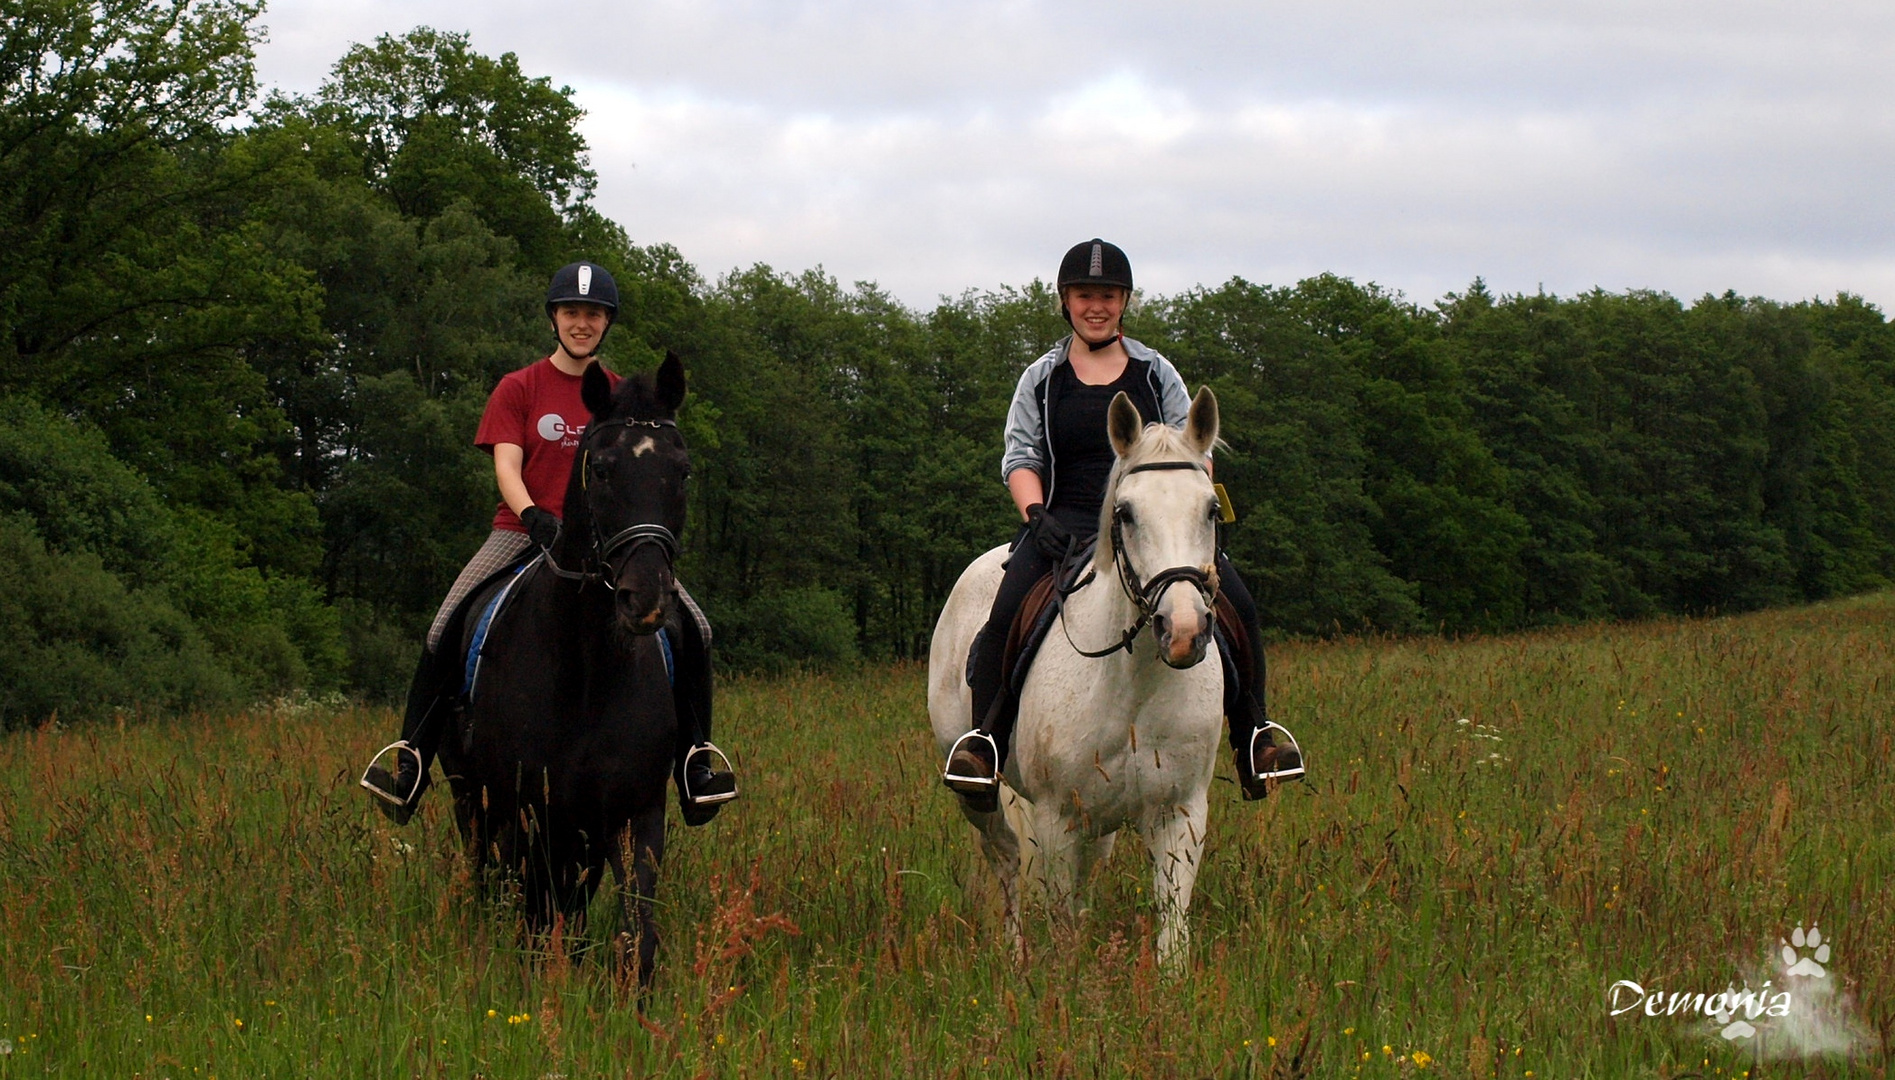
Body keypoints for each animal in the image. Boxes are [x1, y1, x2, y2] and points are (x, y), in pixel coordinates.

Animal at [433, 352, 689, 985]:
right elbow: (532, 918)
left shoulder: (633, 810)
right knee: (490, 877)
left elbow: (638, 937)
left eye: (683, 471)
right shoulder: (527, 808)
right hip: (471, 797)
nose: (646, 599)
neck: (586, 670)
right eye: (600, 469)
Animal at [932, 386, 1227, 966]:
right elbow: (1060, 922)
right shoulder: (1057, 820)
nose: (1183, 631)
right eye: (1126, 513)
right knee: (1006, 861)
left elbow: (1172, 933)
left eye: (1210, 509)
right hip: (979, 795)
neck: (1134, 684)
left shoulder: (1179, 813)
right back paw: (1015, 957)